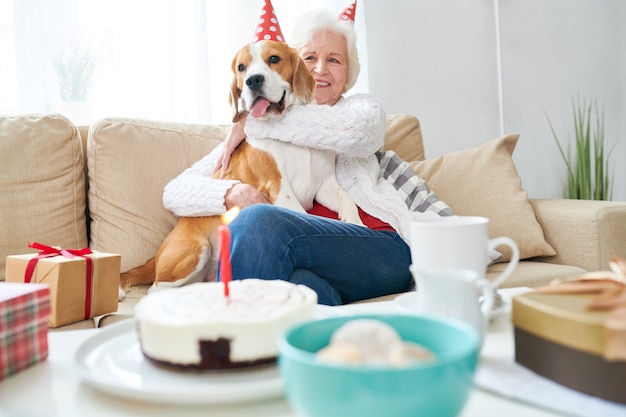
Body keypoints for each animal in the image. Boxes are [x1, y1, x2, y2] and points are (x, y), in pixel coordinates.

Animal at [119, 38, 360, 292]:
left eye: (274, 59)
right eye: (241, 67)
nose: (252, 80)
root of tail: (156, 256)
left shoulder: (324, 185)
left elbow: (347, 200)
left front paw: (356, 224)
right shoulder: (279, 188)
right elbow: (306, 216)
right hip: (195, 250)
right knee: (155, 289)